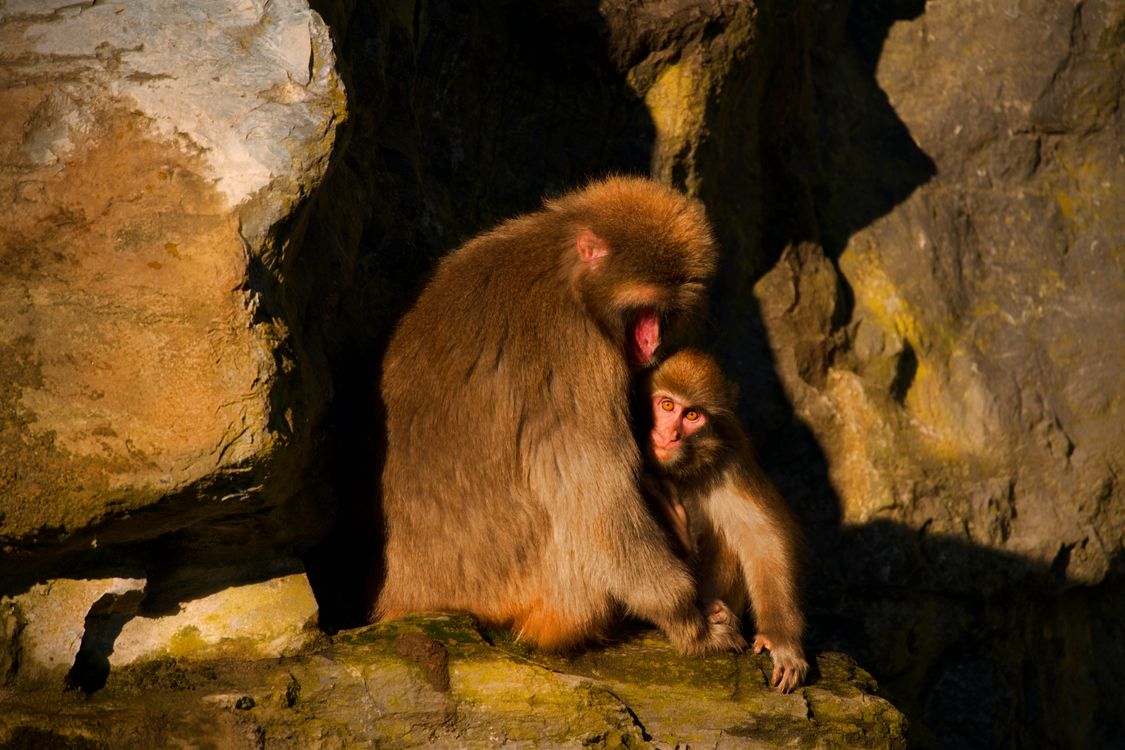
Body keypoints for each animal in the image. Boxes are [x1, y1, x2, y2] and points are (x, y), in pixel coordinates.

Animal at [373, 176, 746, 656]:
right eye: (643, 310)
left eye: (664, 314)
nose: (651, 343)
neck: (565, 269)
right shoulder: (578, 350)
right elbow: (596, 498)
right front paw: (689, 620)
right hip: (541, 593)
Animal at [636, 348, 810, 691]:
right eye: (667, 405)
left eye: (692, 416)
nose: (670, 436)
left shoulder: (730, 458)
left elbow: (762, 538)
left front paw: (782, 640)